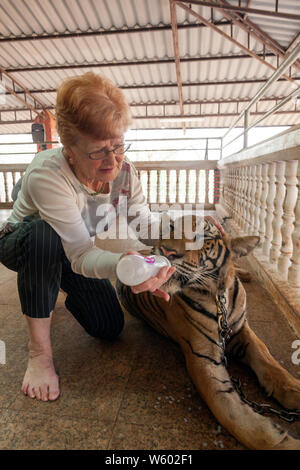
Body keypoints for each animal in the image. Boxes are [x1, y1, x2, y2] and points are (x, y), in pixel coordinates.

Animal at [116, 215, 300, 450]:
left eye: (201, 238)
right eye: (171, 228)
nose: (166, 251)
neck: (218, 293)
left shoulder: (242, 330)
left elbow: (269, 362)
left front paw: (295, 390)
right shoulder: (203, 357)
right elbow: (234, 414)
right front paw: (282, 440)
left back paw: (247, 273)